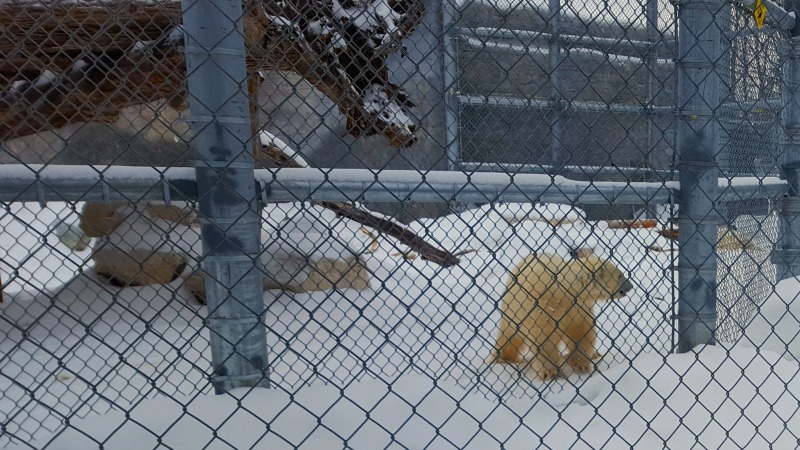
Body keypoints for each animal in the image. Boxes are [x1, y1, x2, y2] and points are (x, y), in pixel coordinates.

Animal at [490, 253, 636, 380]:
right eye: (620, 274)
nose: (631, 286)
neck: (562, 291)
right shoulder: (541, 307)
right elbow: (544, 339)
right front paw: (550, 373)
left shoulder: (578, 307)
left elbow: (581, 331)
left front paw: (580, 364)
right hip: (512, 310)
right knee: (509, 335)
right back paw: (502, 358)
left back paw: (594, 354)